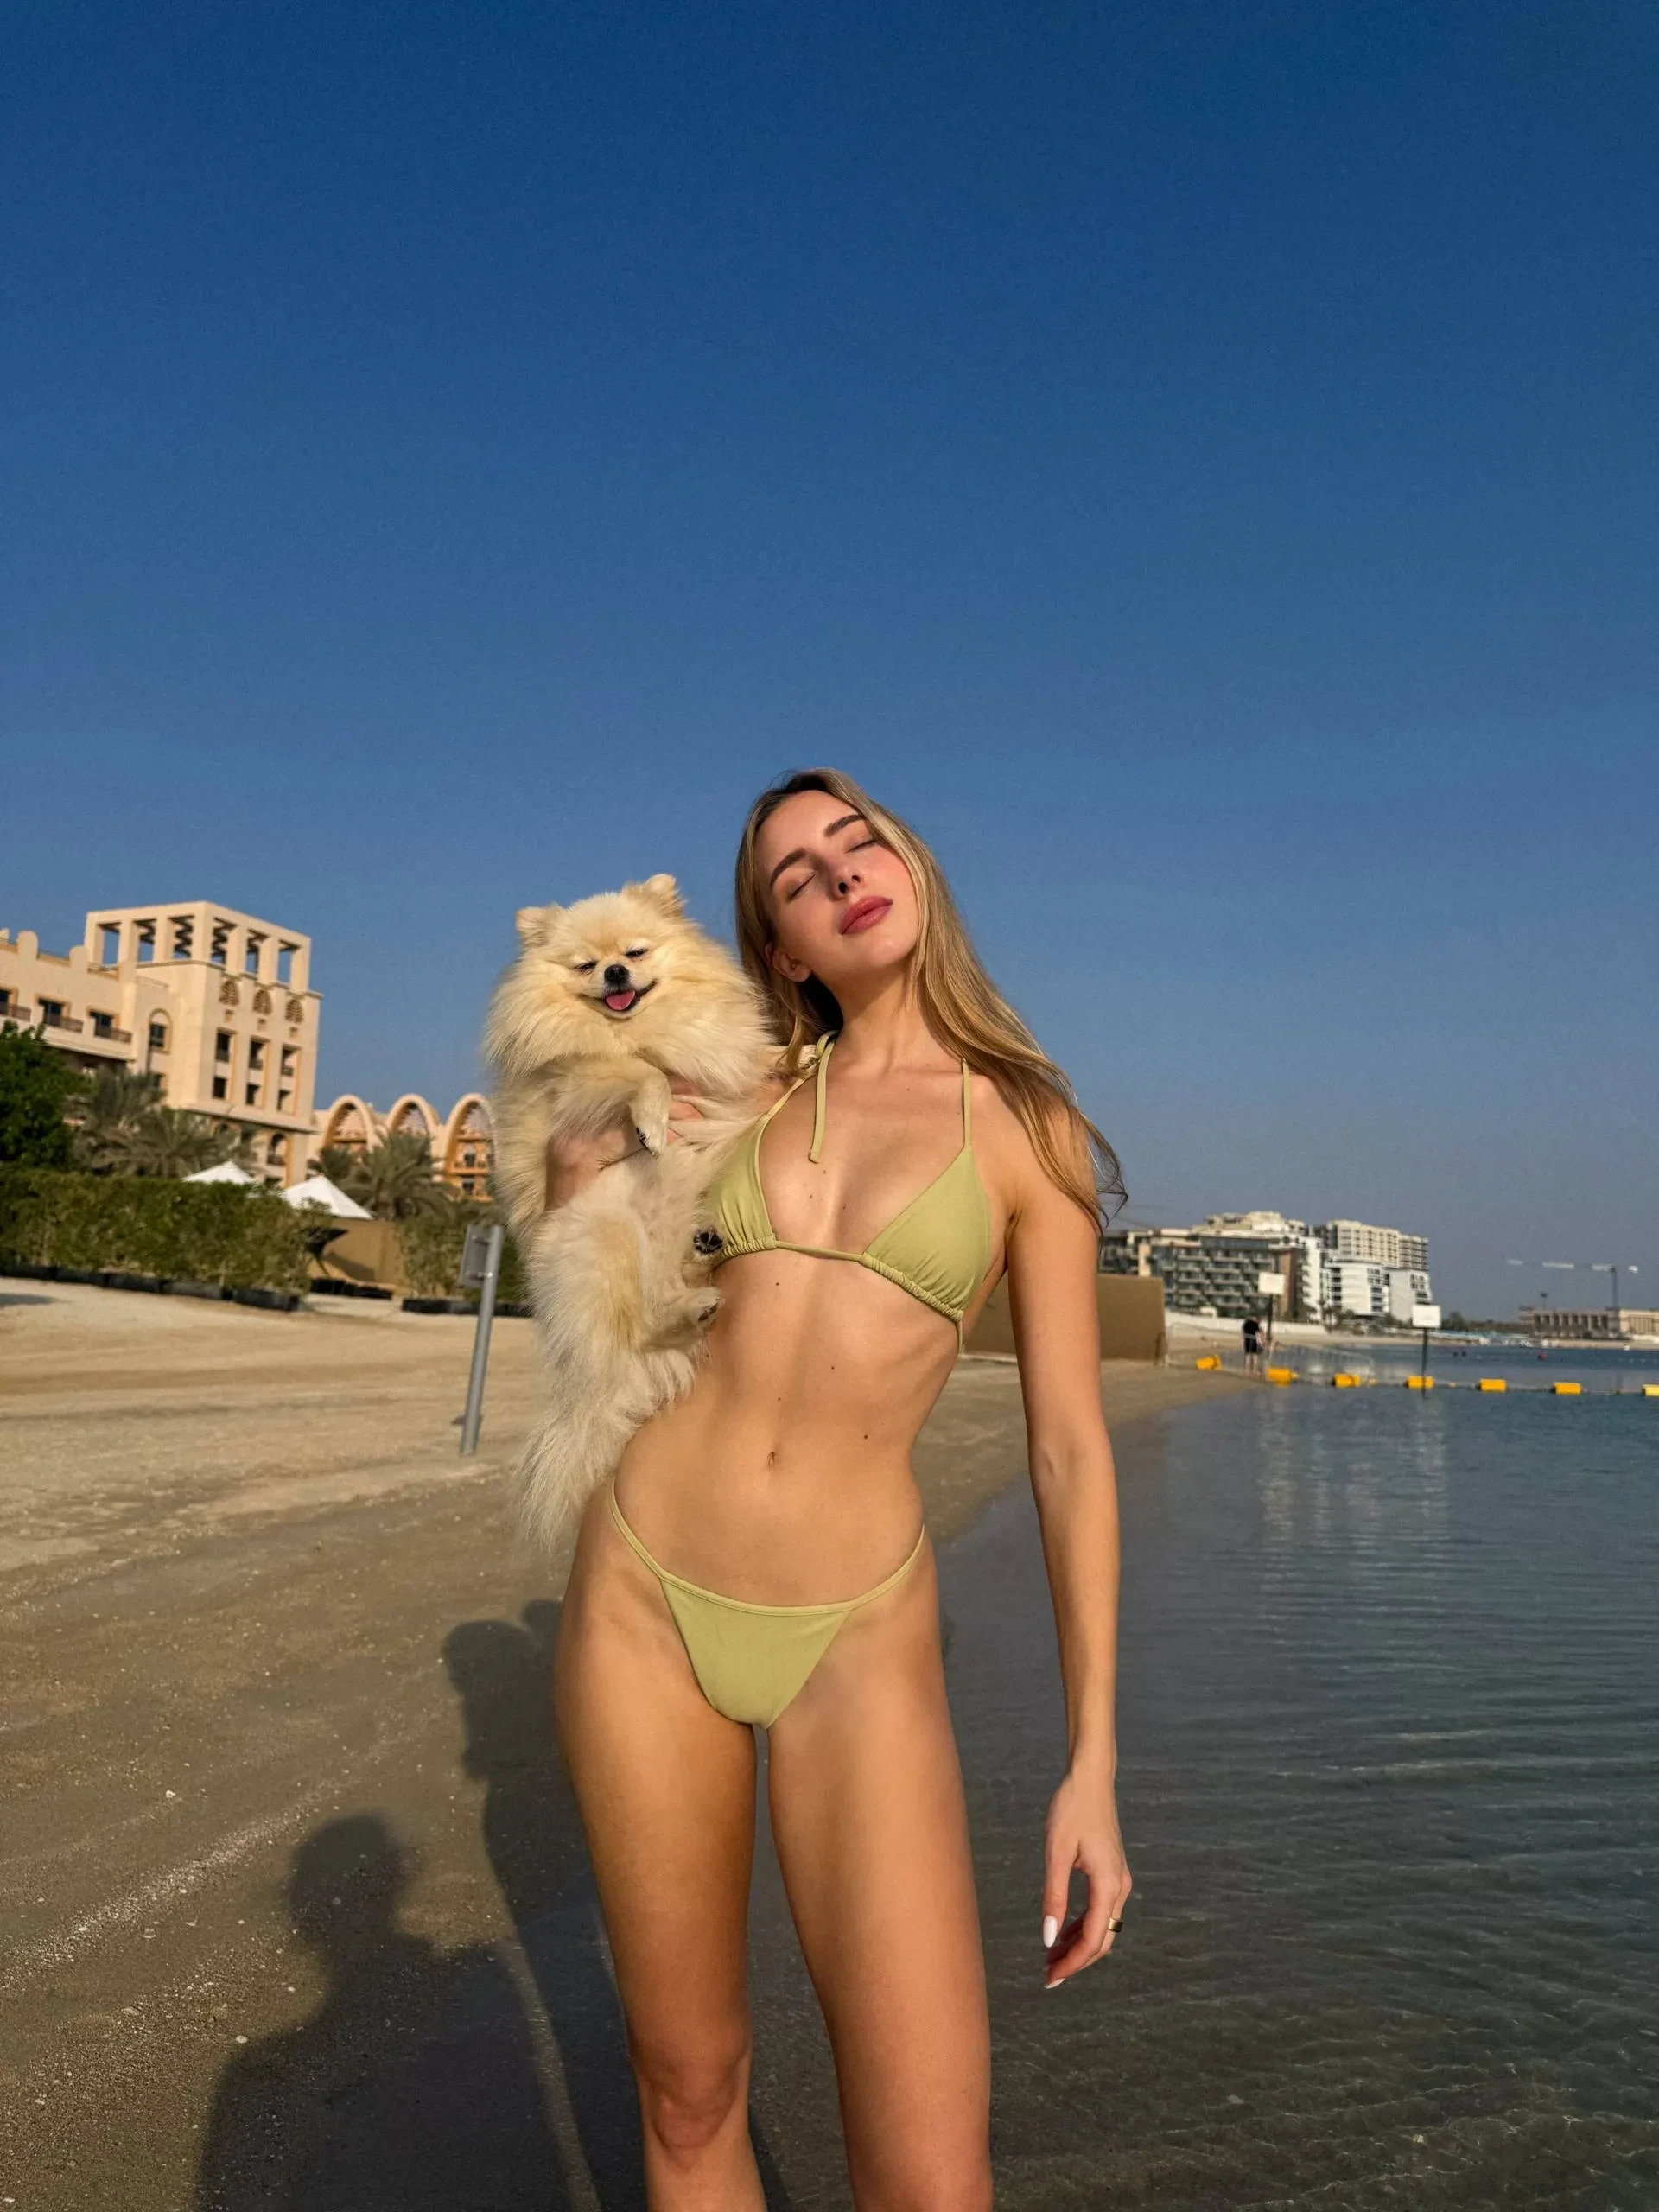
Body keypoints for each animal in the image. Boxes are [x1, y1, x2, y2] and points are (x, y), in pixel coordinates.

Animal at [485, 874, 773, 1550]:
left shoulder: (715, 1058)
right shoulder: (575, 1081)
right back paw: (689, 1308)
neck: (633, 1027)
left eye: (636, 953)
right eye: (586, 966)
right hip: (606, 1230)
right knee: (641, 1322)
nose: (616, 972)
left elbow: (733, 1066)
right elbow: (642, 1073)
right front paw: (651, 1122)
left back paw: (700, 1265)